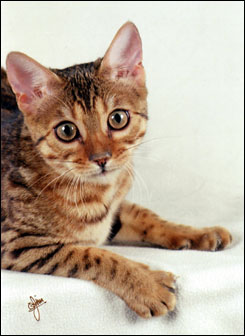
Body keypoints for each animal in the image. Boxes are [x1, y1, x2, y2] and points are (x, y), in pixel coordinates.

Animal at [1, 21, 232, 318]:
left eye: (118, 118)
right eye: (66, 131)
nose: (102, 158)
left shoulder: (113, 211)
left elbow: (148, 216)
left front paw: (199, 233)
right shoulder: (15, 242)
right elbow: (91, 255)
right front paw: (147, 285)